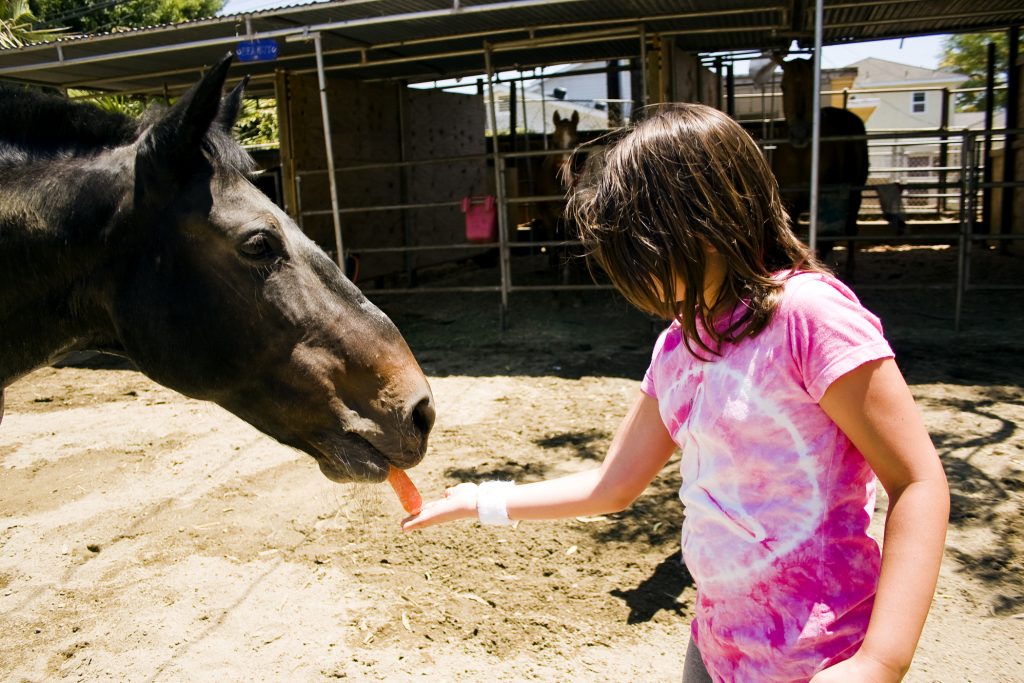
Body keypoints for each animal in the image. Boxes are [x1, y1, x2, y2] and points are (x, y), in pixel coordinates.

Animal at [770, 54, 868, 278]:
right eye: (783, 85)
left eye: (813, 85)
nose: (799, 133)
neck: (801, 155)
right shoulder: (791, 202)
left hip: (855, 191)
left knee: (852, 227)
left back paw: (850, 267)